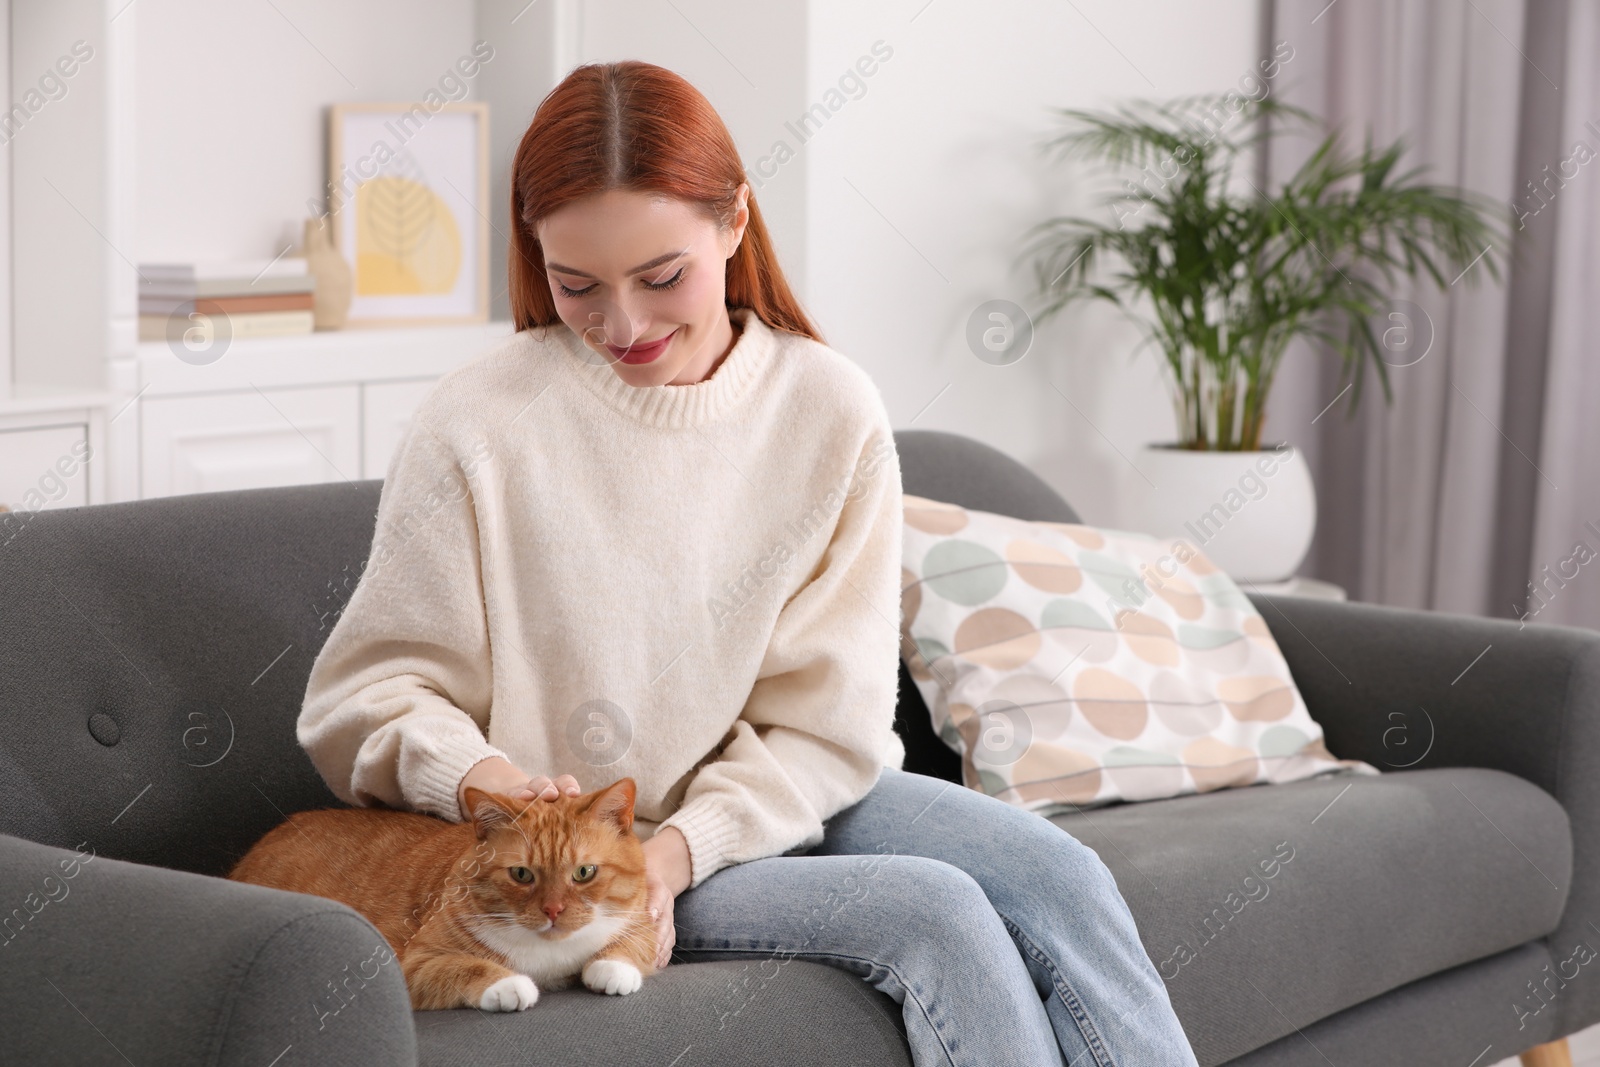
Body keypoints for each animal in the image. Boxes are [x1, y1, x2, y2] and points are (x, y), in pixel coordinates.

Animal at [227, 777, 656, 1011]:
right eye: (521, 874)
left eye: (584, 873)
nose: (553, 910)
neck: (551, 958)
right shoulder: (413, 964)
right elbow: (465, 967)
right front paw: (508, 984)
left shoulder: (644, 921)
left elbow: (631, 946)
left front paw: (612, 967)